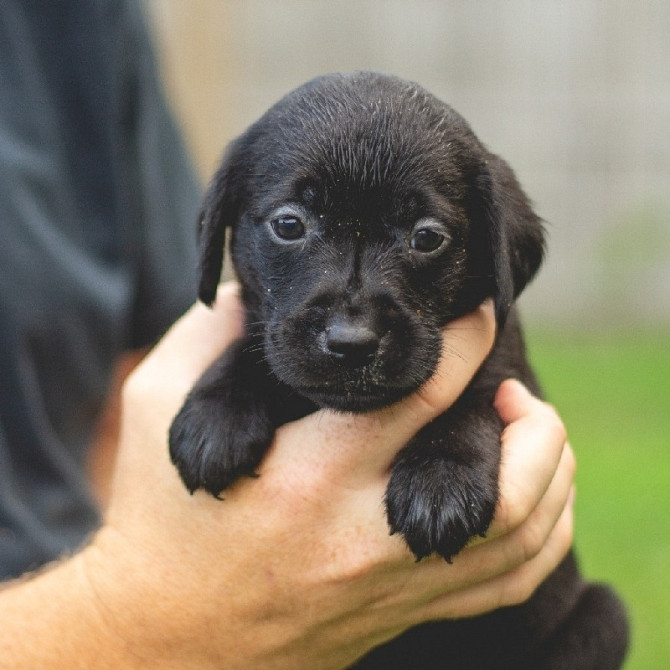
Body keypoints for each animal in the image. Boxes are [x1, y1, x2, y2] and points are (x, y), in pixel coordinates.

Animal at [168, 73, 632, 670]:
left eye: (427, 237)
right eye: (289, 224)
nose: (352, 343)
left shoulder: (501, 366)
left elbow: (470, 403)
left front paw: (439, 482)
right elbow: (253, 350)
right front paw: (215, 417)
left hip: (602, 617)